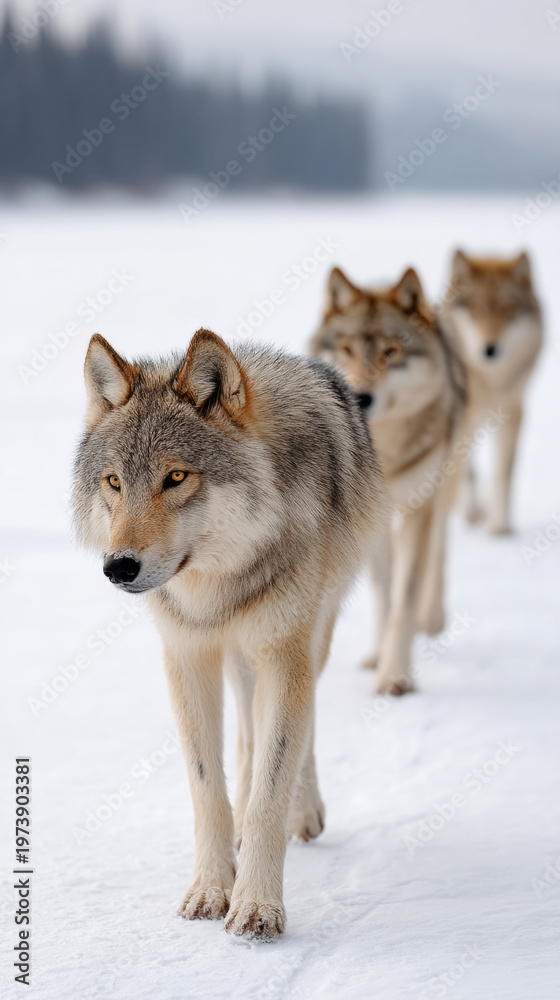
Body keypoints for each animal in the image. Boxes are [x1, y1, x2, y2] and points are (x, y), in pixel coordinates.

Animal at [72, 328, 387, 939]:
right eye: (114, 483)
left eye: (175, 477)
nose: (117, 567)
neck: (218, 586)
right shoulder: (187, 654)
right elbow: (207, 788)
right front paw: (210, 890)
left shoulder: (285, 651)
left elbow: (273, 782)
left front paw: (258, 907)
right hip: (241, 658)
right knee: (245, 733)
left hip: (310, 637)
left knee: (292, 730)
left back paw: (303, 810)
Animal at [310, 266, 465, 695]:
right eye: (346, 349)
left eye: (391, 352)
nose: (362, 396)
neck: (387, 455)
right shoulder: (370, 520)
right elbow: (385, 591)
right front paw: (382, 660)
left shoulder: (419, 508)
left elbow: (405, 597)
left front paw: (396, 676)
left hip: (444, 489)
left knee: (439, 550)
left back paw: (432, 618)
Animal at [439, 250, 543, 534]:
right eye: (475, 312)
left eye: (508, 312)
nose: (490, 350)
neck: (490, 381)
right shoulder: (464, 417)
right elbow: (463, 473)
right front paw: (467, 515)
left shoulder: (513, 411)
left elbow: (503, 474)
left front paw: (500, 526)